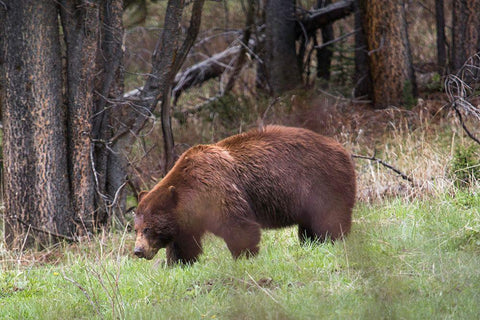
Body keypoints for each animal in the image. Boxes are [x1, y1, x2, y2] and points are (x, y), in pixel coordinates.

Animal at [133, 125, 354, 264]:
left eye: (147, 228)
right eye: (135, 228)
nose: (138, 251)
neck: (193, 194)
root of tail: (342, 148)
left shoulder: (218, 190)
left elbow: (238, 226)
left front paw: (245, 256)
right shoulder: (187, 220)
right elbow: (183, 244)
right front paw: (178, 263)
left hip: (324, 183)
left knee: (331, 218)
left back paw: (333, 240)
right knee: (308, 227)